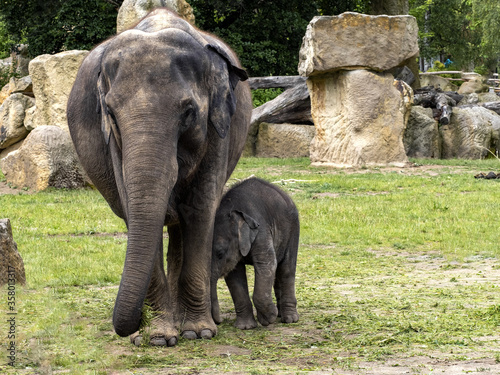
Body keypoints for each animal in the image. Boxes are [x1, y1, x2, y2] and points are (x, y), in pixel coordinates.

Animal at [66, 8, 252, 348]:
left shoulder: (219, 128)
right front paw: (157, 337)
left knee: (182, 225)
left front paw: (198, 332)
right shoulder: (114, 145)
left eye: (189, 112)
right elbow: (133, 209)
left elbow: (200, 210)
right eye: (110, 113)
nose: (137, 322)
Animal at [210, 178, 298, 330]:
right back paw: (280, 314)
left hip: (293, 229)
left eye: (220, 253)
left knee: (286, 269)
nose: (219, 321)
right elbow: (234, 274)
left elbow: (266, 264)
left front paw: (268, 318)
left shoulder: (261, 230)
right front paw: (246, 327)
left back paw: (290, 319)